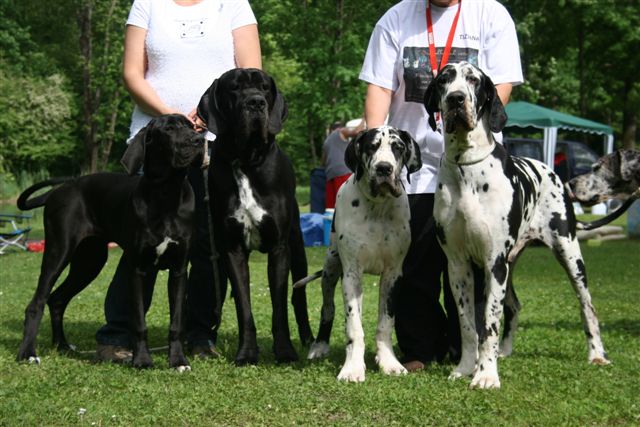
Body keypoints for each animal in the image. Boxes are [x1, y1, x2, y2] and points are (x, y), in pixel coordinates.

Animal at [16, 113, 204, 372]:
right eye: (169, 129)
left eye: (191, 126)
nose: (199, 140)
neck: (166, 192)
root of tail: (61, 188)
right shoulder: (138, 269)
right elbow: (138, 321)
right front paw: (142, 360)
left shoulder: (179, 271)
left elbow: (176, 322)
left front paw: (178, 361)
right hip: (58, 251)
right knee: (37, 302)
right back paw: (28, 353)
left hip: (89, 262)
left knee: (57, 299)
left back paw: (62, 345)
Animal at [198, 68, 312, 366]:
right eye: (234, 88)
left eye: (264, 88)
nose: (256, 103)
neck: (246, 160)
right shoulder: (232, 249)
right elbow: (243, 306)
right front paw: (247, 352)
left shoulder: (279, 248)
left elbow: (280, 305)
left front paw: (285, 351)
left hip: (297, 247)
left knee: (299, 297)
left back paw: (309, 339)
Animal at [296, 125, 422, 382]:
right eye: (371, 147)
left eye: (398, 147)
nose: (384, 168)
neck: (377, 208)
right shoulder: (352, 273)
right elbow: (354, 326)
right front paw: (352, 367)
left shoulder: (393, 275)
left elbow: (385, 322)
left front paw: (388, 362)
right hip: (331, 269)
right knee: (328, 309)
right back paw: (319, 346)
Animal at [424, 62, 608, 392]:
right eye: (444, 79)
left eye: (473, 79)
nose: (456, 99)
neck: (466, 167)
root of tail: (554, 173)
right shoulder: (459, 266)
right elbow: (469, 325)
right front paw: (466, 367)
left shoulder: (493, 261)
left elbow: (488, 323)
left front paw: (486, 374)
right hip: (508, 267)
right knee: (514, 306)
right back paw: (505, 351)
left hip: (569, 255)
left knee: (587, 306)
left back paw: (596, 354)